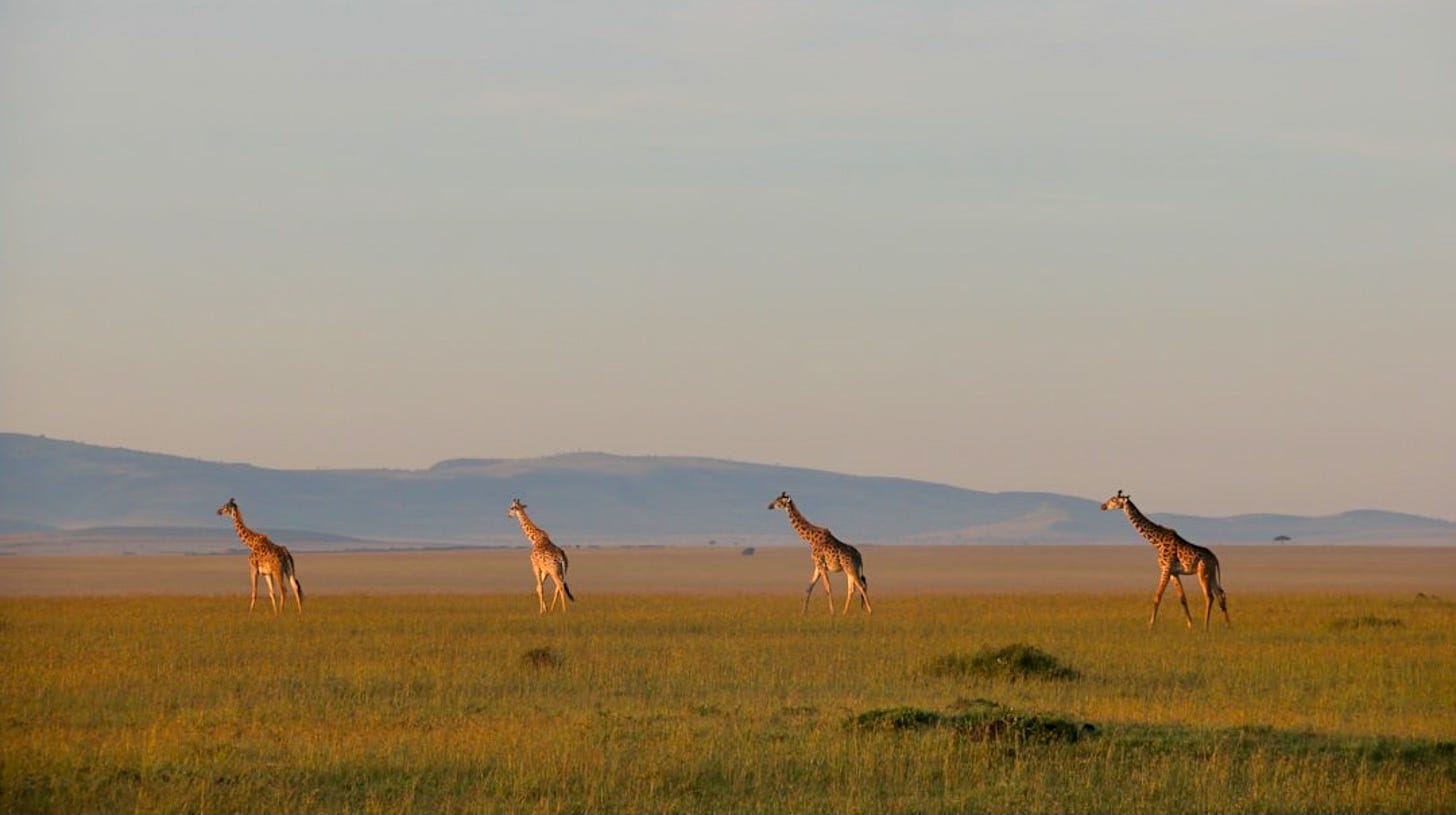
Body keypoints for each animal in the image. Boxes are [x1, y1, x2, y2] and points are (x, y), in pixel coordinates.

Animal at [1100, 490, 1228, 629]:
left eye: (1113, 499)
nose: (1102, 506)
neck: (1157, 541)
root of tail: (1215, 558)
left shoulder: (1165, 569)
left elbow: (1157, 596)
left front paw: (1150, 625)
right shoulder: (1174, 573)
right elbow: (1182, 599)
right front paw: (1190, 625)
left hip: (1202, 572)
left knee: (1209, 597)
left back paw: (1206, 627)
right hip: (1211, 574)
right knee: (1221, 593)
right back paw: (1229, 625)